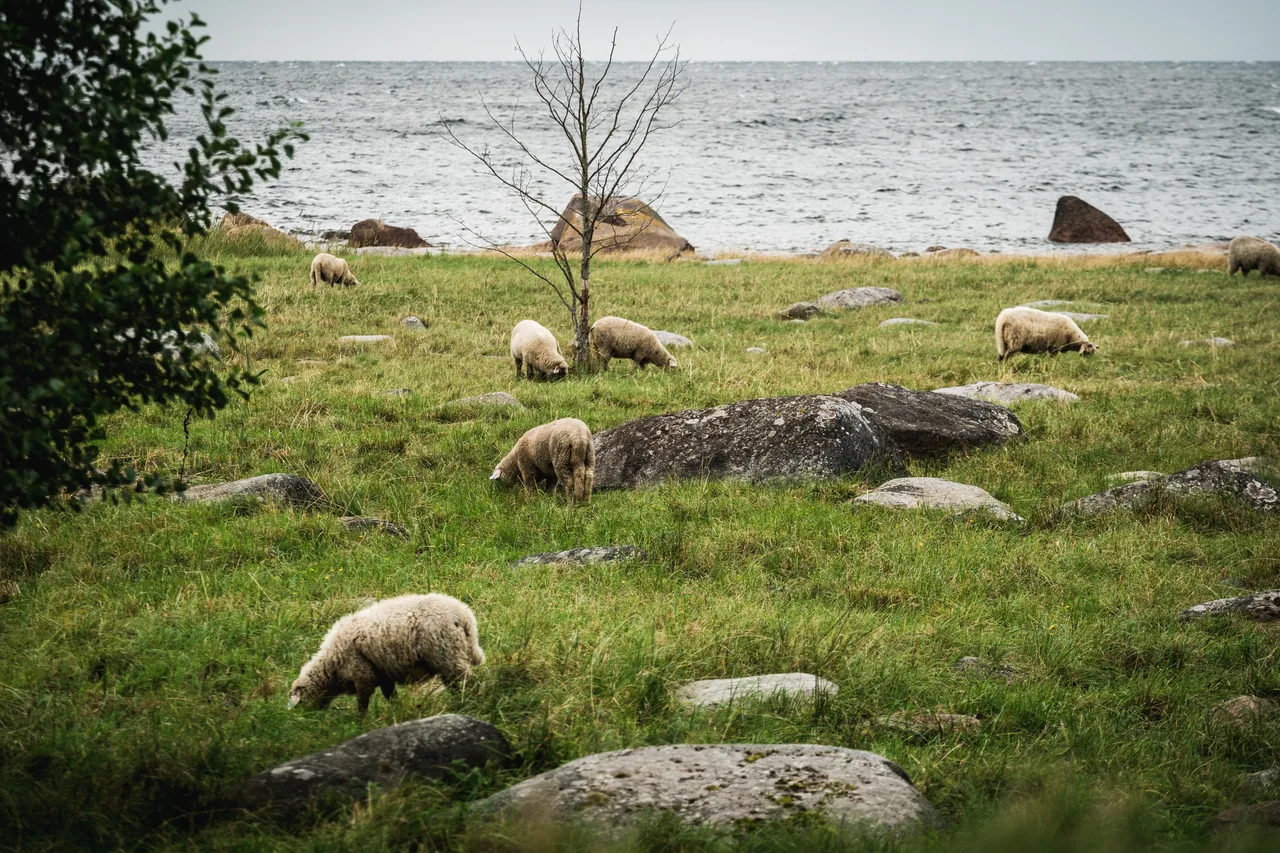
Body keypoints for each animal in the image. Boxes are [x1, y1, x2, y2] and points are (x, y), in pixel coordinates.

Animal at [288, 593, 484, 715]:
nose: (311, 719)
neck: (331, 665)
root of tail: (464, 616)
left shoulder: (363, 676)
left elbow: (362, 704)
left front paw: (361, 723)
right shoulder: (383, 674)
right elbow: (391, 696)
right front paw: (397, 712)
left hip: (448, 655)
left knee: (470, 682)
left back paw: (473, 702)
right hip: (448, 658)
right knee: (456, 685)